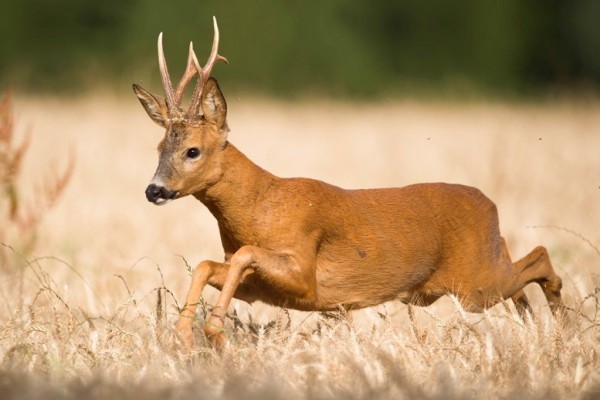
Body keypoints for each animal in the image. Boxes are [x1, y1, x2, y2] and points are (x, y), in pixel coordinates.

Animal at [130, 16, 564, 346]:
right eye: (159, 146)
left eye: (192, 151)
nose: (154, 190)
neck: (259, 206)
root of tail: (490, 205)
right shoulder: (261, 288)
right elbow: (208, 264)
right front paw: (184, 333)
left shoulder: (304, 271)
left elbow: (244, 255)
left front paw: (213, 328)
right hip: (479, 275)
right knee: (519, 269)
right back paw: (538, 327)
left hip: (474, 283)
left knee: (541, 258)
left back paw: (563, 326)